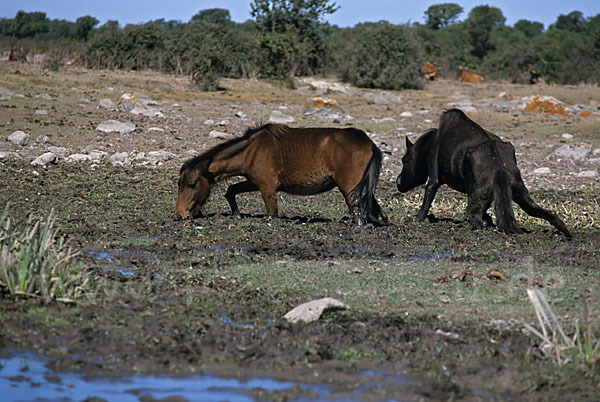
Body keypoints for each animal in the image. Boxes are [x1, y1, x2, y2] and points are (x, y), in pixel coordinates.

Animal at [173, 123, 390, 226]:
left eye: (192, 184)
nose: (179, 215)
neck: (251, 150)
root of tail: (369, 142)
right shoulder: (254, 182)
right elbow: (231, 191)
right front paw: (237, 214)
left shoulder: (267, 187)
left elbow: (272, 214)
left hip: (349, 187)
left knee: (358, 211)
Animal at [398, 107, 572, 239]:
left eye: (405, 159)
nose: (398, 182)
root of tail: (499, 169)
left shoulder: (434, 178)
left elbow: (427, 198)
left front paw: (417, 220)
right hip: (521, 195)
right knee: (550, 214)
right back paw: (566, 233)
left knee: (473, 217)